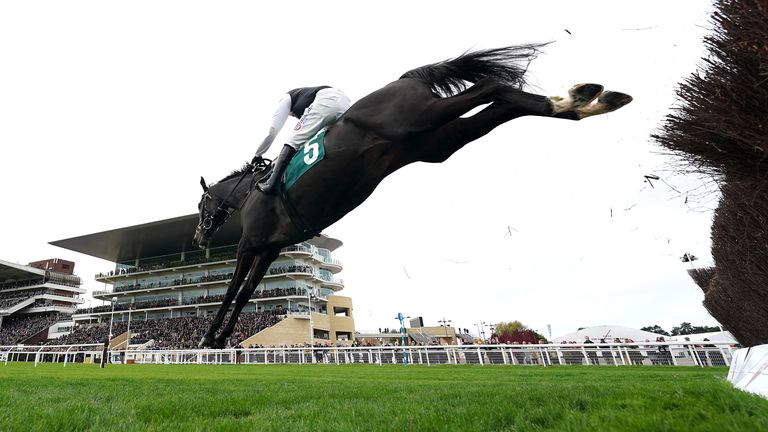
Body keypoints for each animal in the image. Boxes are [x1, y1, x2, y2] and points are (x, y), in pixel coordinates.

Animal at [190, 45, 632, 348]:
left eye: (201, 206)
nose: (197, 236)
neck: (251, 194)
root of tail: (403, 79)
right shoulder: (269, 249)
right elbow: (246, 292)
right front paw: (221, 337)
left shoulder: (250, 244)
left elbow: (232, 289)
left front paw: (209, 337)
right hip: (436, 143)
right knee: (500, 107)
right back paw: (583, 101)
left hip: (417, 121)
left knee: (490, 87)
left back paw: (580, 97)